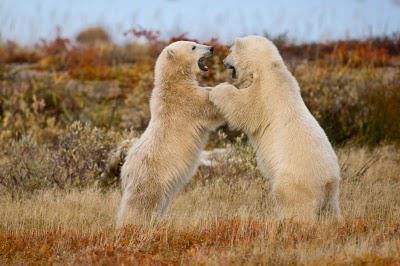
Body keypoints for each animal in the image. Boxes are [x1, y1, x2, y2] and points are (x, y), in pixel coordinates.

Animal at [115, 40, 223, 228]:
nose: (211, 48)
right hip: (151, 176)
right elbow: (208, 105)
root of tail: (126, 170)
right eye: (193, 46)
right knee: (142, 203)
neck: (173, 83)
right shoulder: (186, 101)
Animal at [209, 35, 340, 222]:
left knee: (293, 202)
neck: (268, 68)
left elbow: (245, 107)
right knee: (331, 209)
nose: (223, 61)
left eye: (230, 50)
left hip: (296, 180)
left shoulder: (265, 92)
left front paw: (216, 90)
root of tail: (327, 181)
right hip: (332, 193)